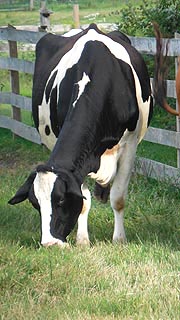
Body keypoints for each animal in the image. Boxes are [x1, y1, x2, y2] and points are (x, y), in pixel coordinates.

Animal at [8, 23, 153, 246]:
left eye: (60, 199)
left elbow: (118, 198)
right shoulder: (77, 164)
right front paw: (83, 240)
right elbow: (84, 201)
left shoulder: (129, 145)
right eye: (35, 204)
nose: (50, 243)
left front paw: (119, 240)